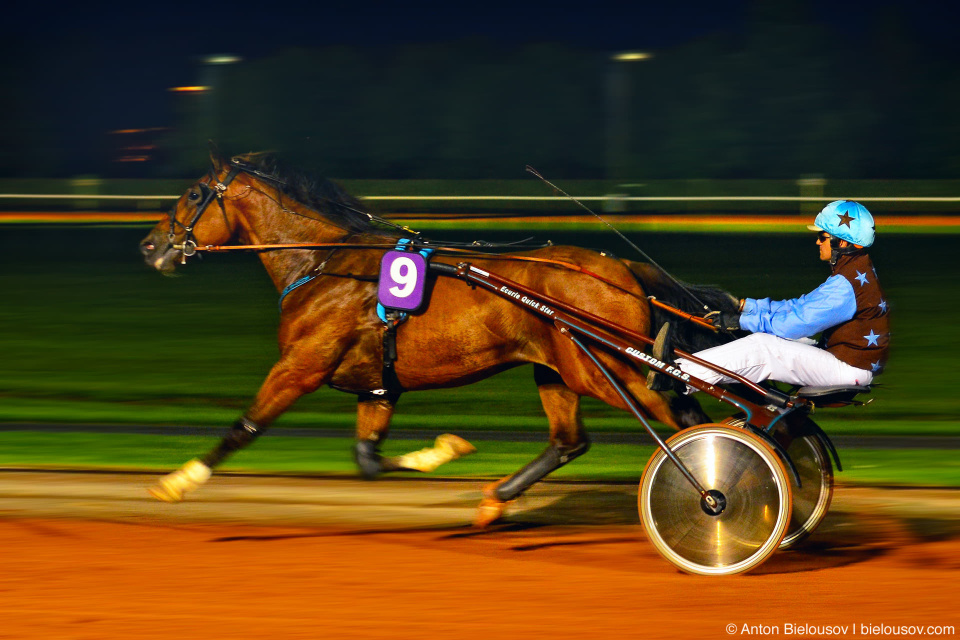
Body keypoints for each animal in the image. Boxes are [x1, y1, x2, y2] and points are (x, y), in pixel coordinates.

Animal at [139, 149, 736, 524]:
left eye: (194, 193)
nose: (150, 246)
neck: (323, 263)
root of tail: (625, 269)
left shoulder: (301, 366)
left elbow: (245, 427)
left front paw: (177, 481)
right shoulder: (377, 385)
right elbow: (367, 459)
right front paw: (444, 450)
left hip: (605, 371)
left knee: (677, 417)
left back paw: (715, 492)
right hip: (558, 369)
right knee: (571, 440)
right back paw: (495, 500)